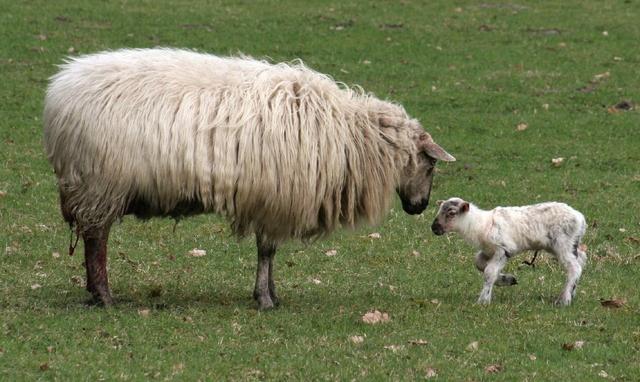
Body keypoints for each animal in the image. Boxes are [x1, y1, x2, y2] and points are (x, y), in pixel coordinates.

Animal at [43, 47, 456, 310]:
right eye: (430, 166)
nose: (420, 208)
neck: (352, 136)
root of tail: (59, 92)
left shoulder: (270, 199)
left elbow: (267, 253)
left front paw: (271, 292)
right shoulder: (275, 199)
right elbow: (267, 251)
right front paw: (266, 299)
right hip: (100, 184)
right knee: (96, 241)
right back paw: (104, 296)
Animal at [432, 198, 588, 306]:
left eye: (451, 213)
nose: (433, 228)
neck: (481, 224)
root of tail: (580, 218)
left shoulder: (503, 249)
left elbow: (489, 272)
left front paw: (483, 300)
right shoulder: (488, 251)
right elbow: (479, 264)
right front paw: (507, 280)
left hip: (563, 243)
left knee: (575, 268)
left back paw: (564, 299)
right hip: (565, 245)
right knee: (581, 258)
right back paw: (572, 293)